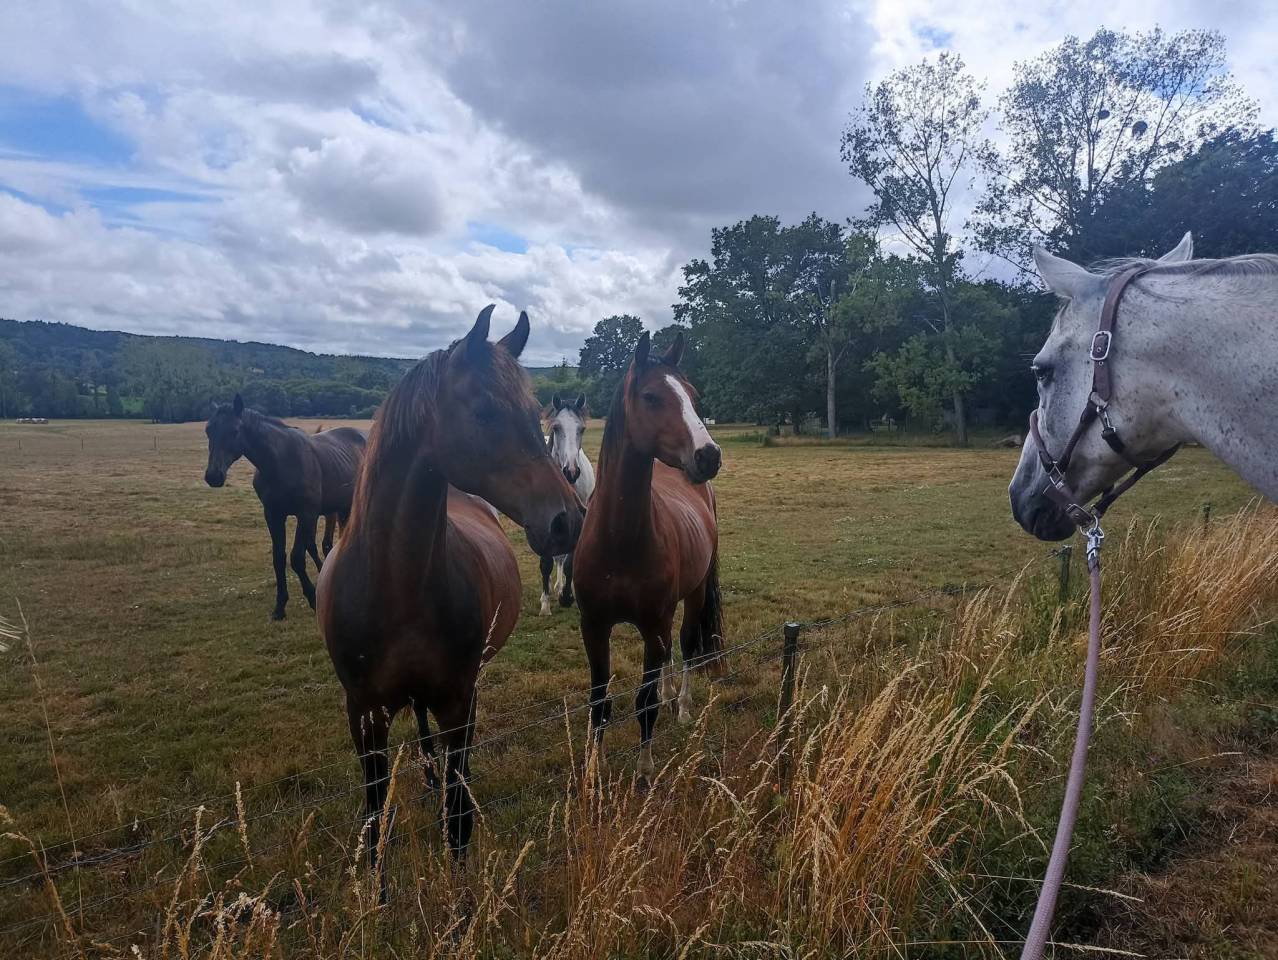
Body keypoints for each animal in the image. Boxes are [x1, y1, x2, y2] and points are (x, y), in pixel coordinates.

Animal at [204, 398, 366, 619]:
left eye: (235, 431)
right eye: (208, 430)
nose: (213, 476)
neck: (280, 462)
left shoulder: (306, 514)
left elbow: (297, 558)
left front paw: (313, 598)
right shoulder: (273, 515)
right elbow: (279, 558)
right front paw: (280, 606)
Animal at [316, 306, 582, 864]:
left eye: (536, 415)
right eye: (484, 411)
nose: (568, 520)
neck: (396, 583)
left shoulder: (458, 703)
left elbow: (458, 822)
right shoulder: (364, 717)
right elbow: (375, 827)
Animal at [539, 393, 595, 615]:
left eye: (582, 429)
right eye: (556, 428)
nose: (571, 471)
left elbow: (569, 560)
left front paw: (567, 596)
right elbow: (546, 562)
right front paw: (545, 604)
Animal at [572, 330, 724, 781]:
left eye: (693, 395)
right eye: (652, 397)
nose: (709, 455)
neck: (620, 539)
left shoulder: (653, 624)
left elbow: (645, 701)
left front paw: (644, 769)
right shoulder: (594, 626)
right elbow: (599, 702)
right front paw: (593, 769)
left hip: (693, 594)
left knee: (687, 645)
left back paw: (684, 706)